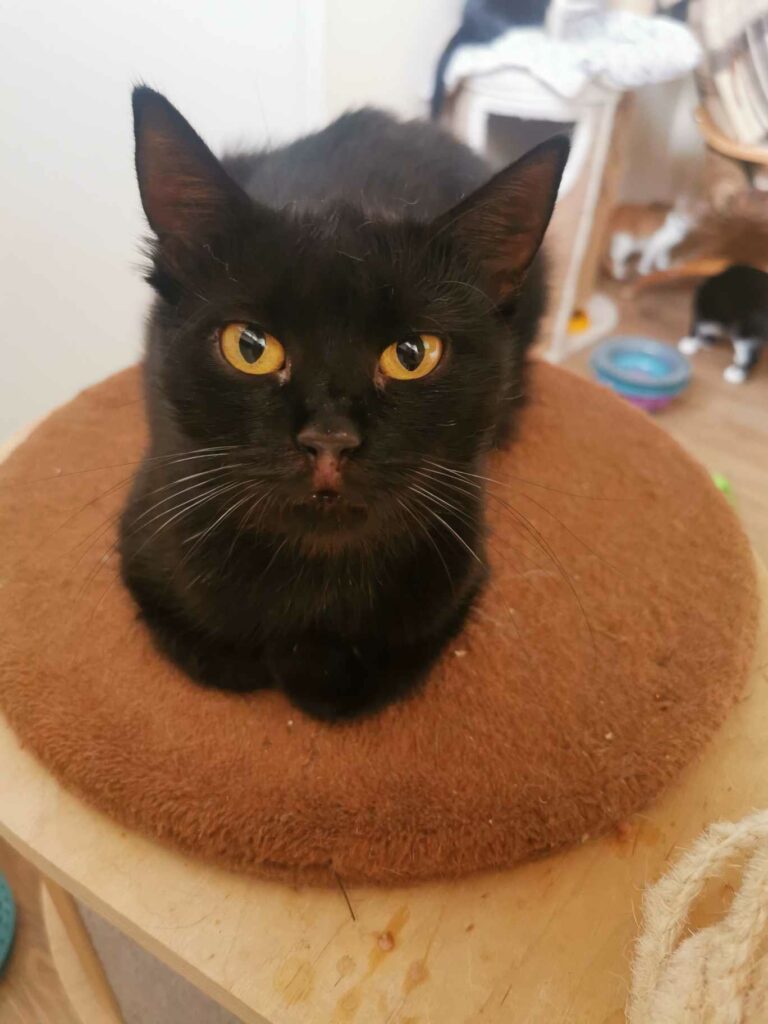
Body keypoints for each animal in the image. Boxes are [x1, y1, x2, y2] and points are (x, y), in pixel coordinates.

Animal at [119, 87, 568, 721]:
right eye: (249, 347)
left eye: (412, 354)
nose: (329, 439)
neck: (315, 576)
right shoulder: (147, 539)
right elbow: (220, 656)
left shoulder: (459, 571)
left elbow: (349, 681)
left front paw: (312, 664)